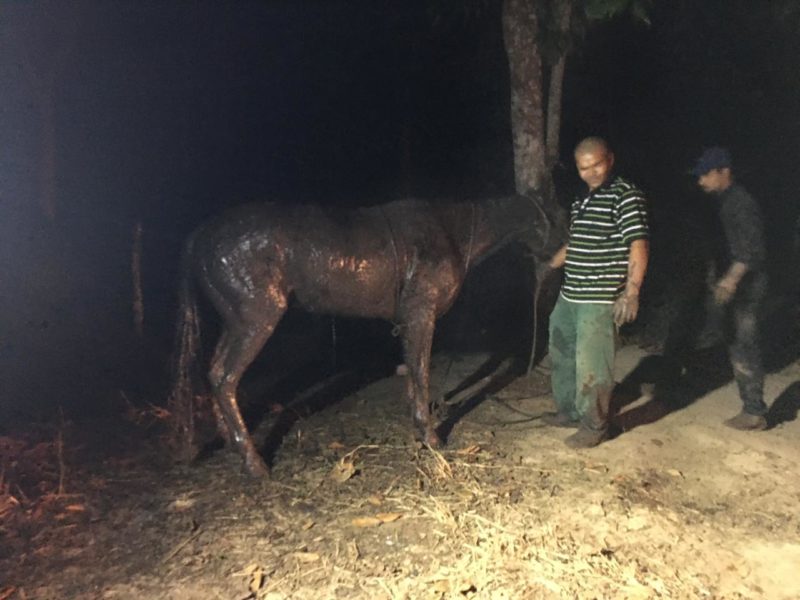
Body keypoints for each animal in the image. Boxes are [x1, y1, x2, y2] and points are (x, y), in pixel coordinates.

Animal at [169, 195, 564, 476]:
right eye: (558, 214)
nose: (561, 257)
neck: (456, 232)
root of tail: (197, 237)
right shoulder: (421, 315)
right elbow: (422, 373)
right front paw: (431, 436)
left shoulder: (408, 321)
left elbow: (412, 373)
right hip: (256, 317)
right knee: (225, 378)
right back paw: (255, 464)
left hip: (234, 320)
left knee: (214, 372)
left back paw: (231, 444)